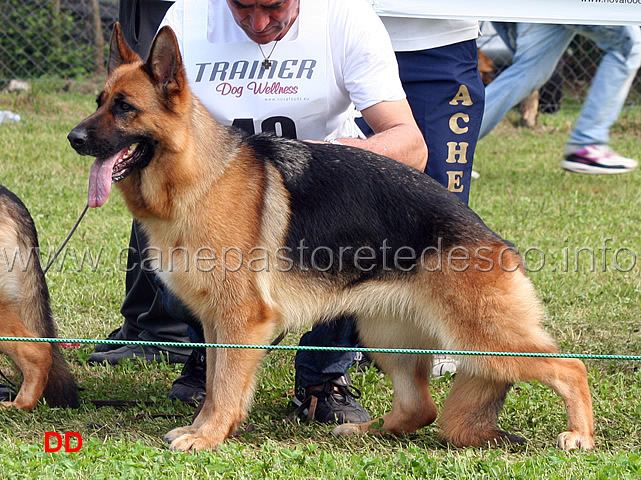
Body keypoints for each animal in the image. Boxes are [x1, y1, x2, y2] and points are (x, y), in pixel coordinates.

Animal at [66, 24, 596, 452]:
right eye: (98, 102)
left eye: (125, 108)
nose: (73, 138)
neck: (200, 176)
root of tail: (490, 236)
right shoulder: (217, 323)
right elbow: (215, 382)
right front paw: (207, 428)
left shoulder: (241, 321)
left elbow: (226, 387)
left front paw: (209, 435)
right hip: (387, 337)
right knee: (420, 409)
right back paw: (365, 430)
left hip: (482, 341)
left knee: (572, 367)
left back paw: (580, 435)